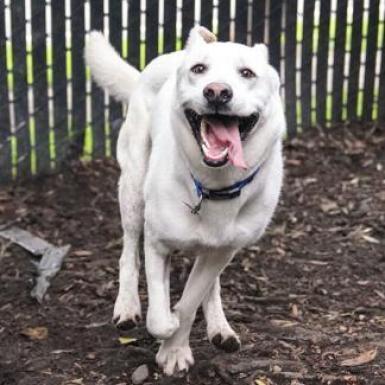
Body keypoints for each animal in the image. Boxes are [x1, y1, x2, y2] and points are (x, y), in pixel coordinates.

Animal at [86, 27, 284, 376]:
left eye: (247, 73)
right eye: (199, 69)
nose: (217, 92)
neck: (213, 186)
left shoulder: (223, 251)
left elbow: (192, 300)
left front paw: (175, 348)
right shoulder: (156, 242)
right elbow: (159, 317)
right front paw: (168, 329)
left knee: (211, 285)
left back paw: (219, 326)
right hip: (132, 188)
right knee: (128, 253)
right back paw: (127, 306)